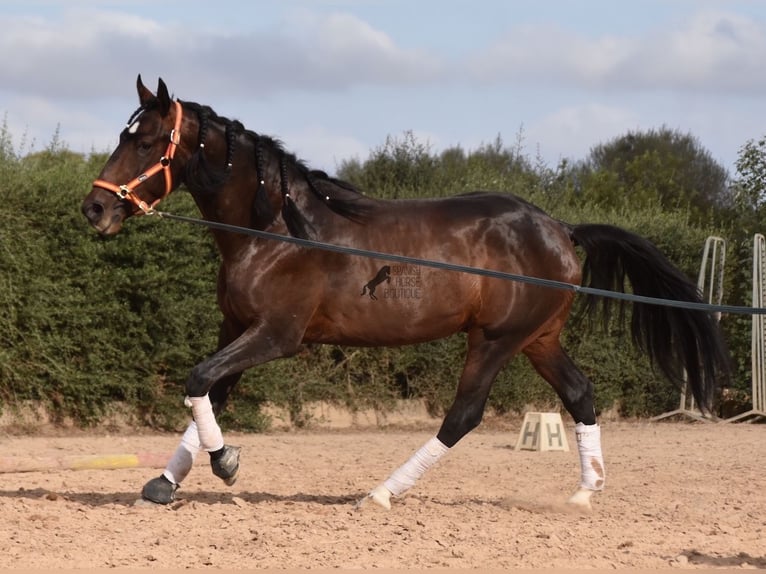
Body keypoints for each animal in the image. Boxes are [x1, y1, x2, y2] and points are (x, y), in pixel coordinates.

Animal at [81, 76, 728, 512]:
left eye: (148, 141)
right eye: (124, 134)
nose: (94, 209)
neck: (274, 230)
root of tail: (561, 229)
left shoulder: (276, 335)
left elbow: (199, 380)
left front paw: (226, 464)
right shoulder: (236, 328)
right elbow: (208, 392)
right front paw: (164, 483)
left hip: (495, 339)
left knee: (464, 414)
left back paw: (381, 494)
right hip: (538, 338)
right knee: (579, 394)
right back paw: (583, 494)